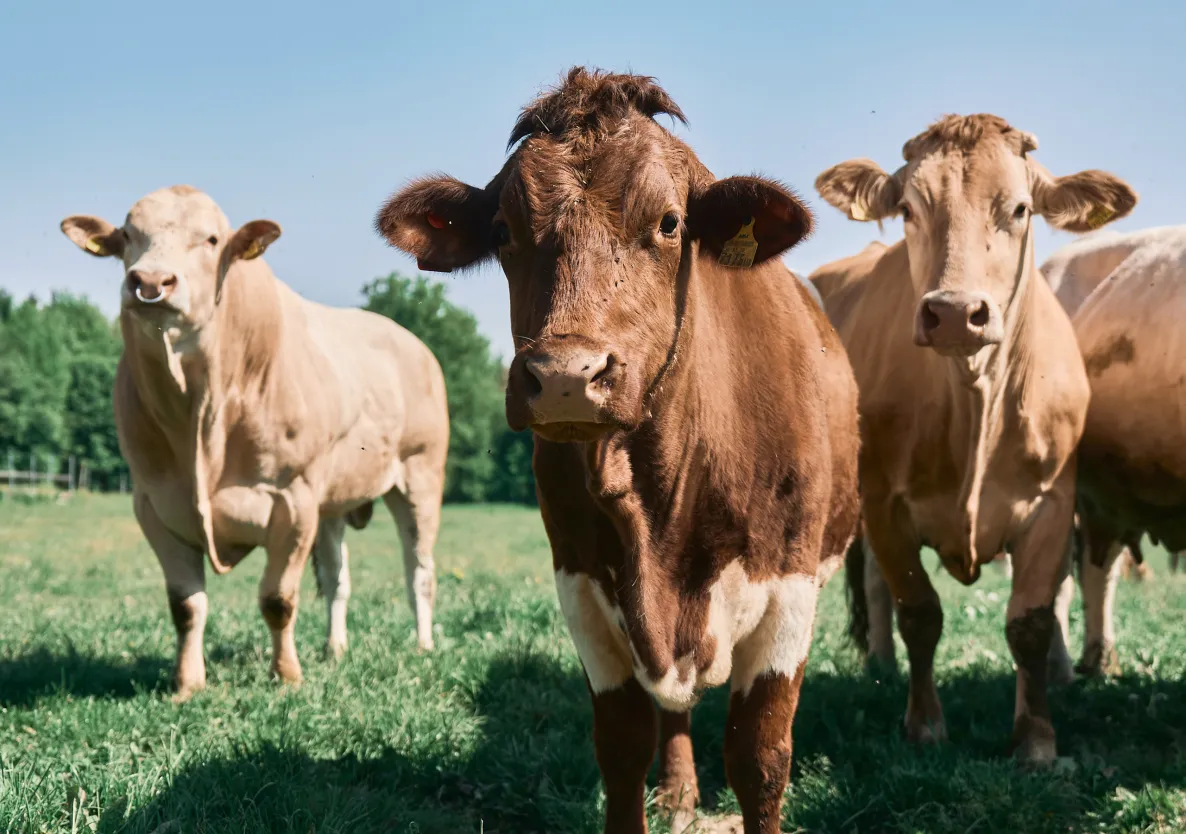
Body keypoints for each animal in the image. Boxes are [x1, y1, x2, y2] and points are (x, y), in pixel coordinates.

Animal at [56, 187, 445, 697]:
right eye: (127, 235)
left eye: (211, 239)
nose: (150, 281)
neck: (201, 415)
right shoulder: (154, 504)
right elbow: (186, 605)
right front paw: (187, 684)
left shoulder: (293, 500)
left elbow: (278, 599)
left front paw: (287, 675)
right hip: (332, 501)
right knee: (337, 577)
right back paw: (334, 648)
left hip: (420, 476)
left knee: (419, 569)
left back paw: (422, 645)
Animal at [374, 69, 858, 834]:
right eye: (504, 230)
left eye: (669, 222)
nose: (567, 376)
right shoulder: (581, 584)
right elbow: (624, 745)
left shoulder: (790, 590)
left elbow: (760, 758)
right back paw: (681, 789)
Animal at [811, 113, 1133, 768]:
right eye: (907, 208)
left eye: (1019, 208)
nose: (956, 313)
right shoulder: (884, 504)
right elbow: (919, 612)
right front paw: (925, 725)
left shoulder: (1053, 505)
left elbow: (1030, 622)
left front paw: (1035, 738)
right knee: (878, 586)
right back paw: (880, 664)